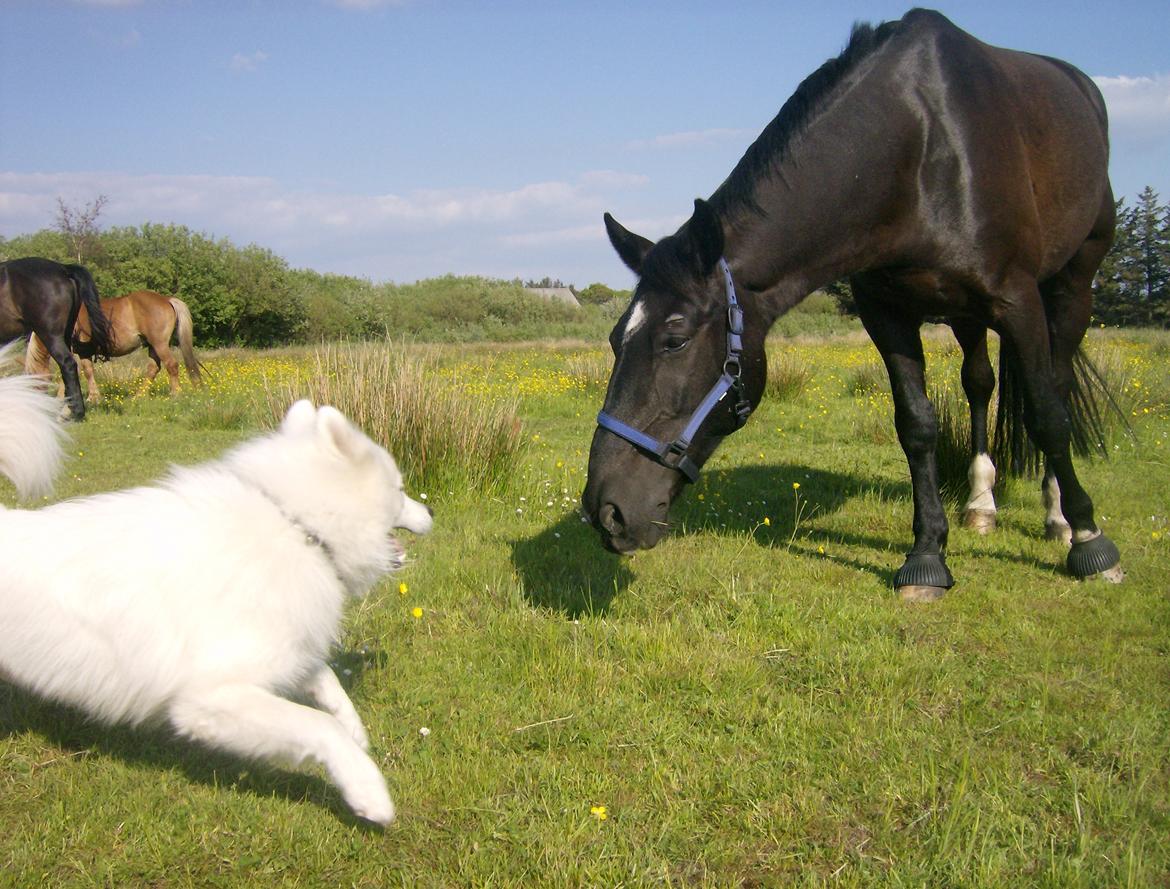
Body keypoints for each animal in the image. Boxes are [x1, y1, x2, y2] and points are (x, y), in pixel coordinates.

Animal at [0, 353, 432, 828]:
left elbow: (326, 681)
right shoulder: (209, 697)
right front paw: (368, 791)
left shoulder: (282, 647)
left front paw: (357, 730)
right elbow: (319, 726)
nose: (430, 512)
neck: (294, 523)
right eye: (401, 490)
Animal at [25, 287, 203, 400]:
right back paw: (138, 396)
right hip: (153, 346)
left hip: (160, 344)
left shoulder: (79, 350)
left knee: (171, 365)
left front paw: (89, 397)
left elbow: (84, 372)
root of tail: (166, 299)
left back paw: (176, 393)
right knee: (153, 369)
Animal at [580, 8, 1118, 596]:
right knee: (979, 383)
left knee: (1057, 386)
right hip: (964, 313)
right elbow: (917, 426)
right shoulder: (886, 313)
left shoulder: (1016, 300)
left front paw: (1091, 541)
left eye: (674, 339)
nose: (605, 512)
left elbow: (1047, 414)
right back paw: (982, 504)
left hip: (1071, 286)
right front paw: (927, 555)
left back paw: (1059, 517)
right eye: (615, 339)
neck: (921, 148)